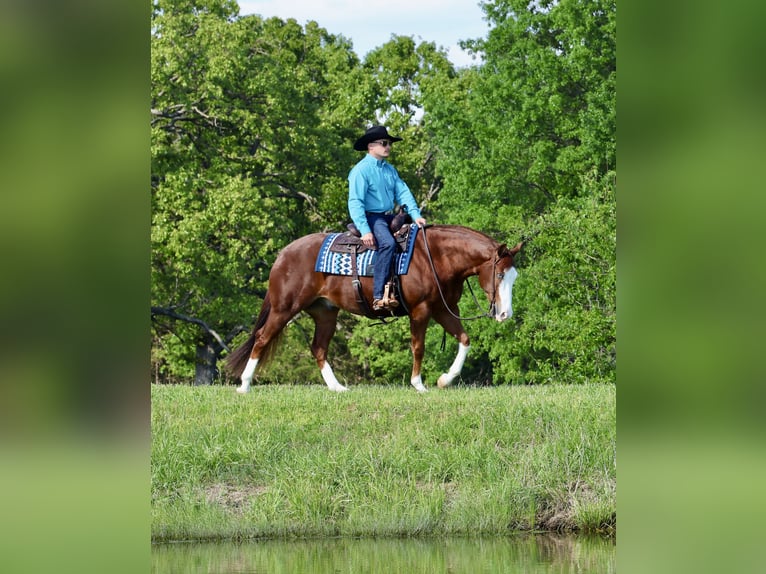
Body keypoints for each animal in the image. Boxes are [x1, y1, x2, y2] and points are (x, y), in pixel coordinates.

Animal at [226, 224, 522, 393]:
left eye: (513, 276)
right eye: (499, 275)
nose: (505, 314)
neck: (435, 257)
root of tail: (283, 254)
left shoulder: (442, 309)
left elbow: (464, 340)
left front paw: (444, 380)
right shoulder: (421, 310)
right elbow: (418, 347)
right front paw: (419, 385)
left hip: (325, 312)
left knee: (318, 348)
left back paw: (337, 388)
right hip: (284, 308)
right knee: (262, 338)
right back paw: (245, 385)